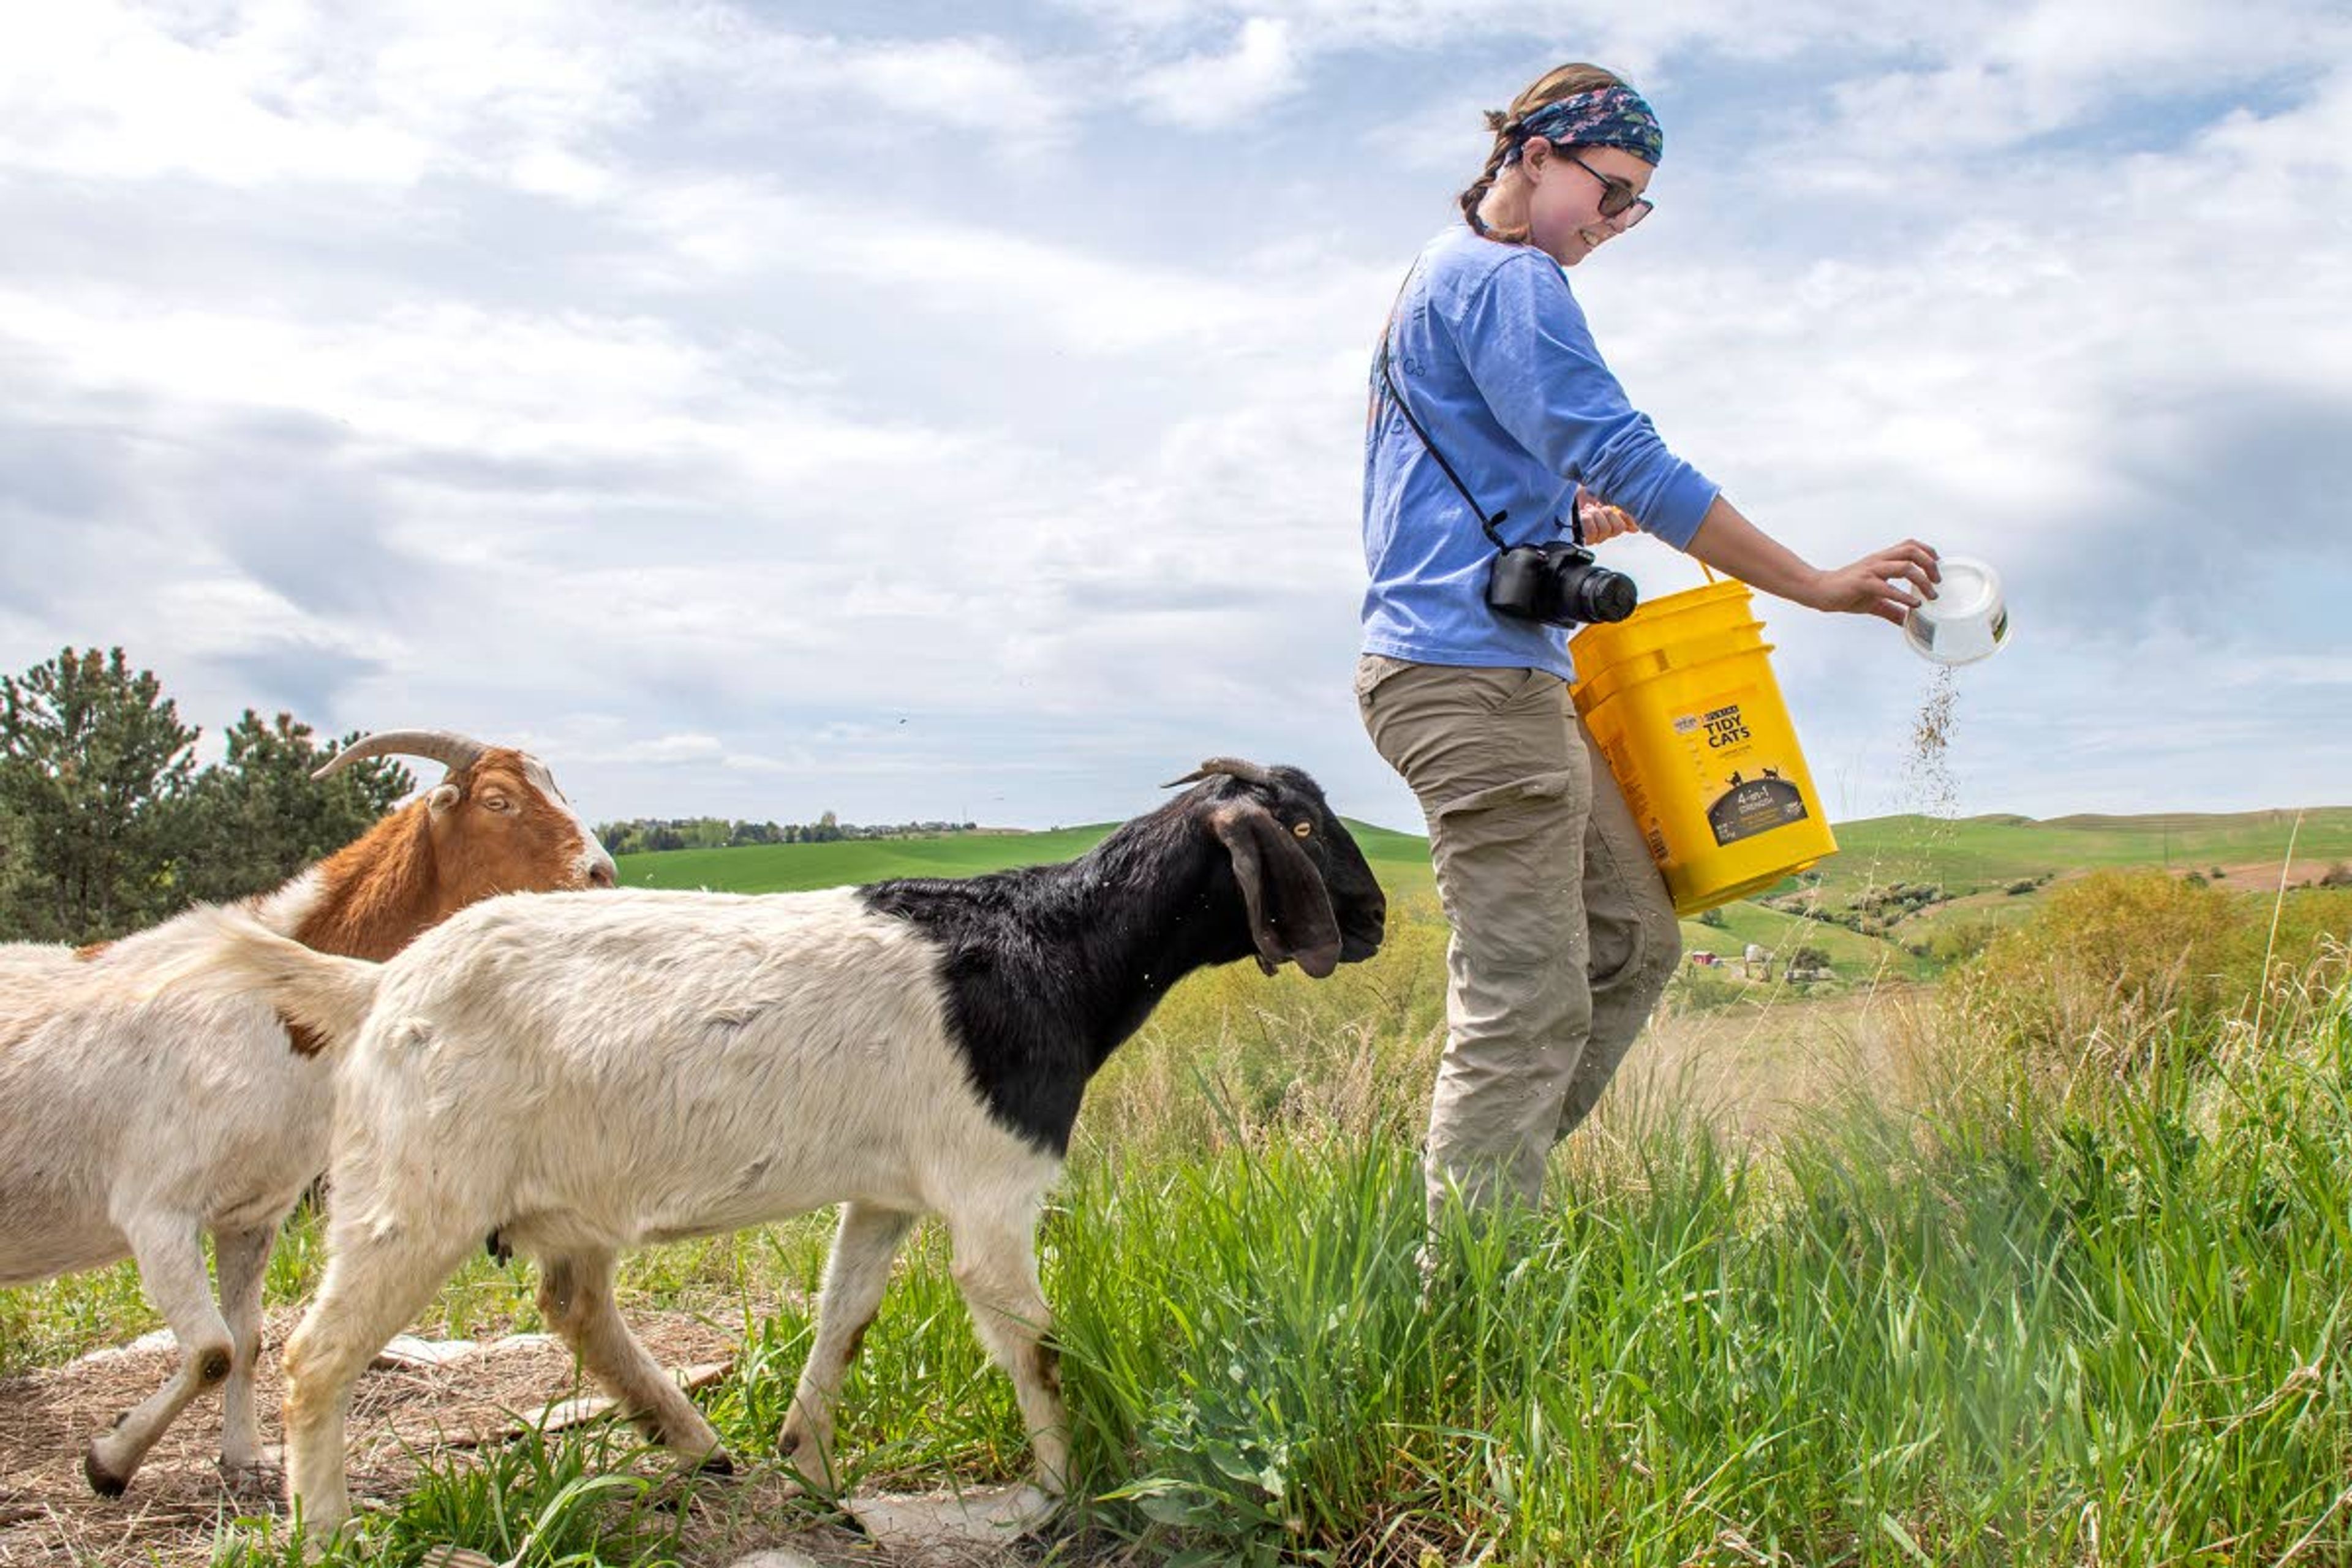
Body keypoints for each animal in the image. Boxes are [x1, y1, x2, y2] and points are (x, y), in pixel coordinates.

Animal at [0, 733, 616, 1495]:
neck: (278, 1003)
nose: (601, 873)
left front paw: (245, 1459)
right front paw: (110, 1460)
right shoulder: (156, 1209)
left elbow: (245, 1340)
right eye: (499, 801)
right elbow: (210, 1349)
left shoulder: (252, 1214)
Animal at [174, 756, 1382, 1532]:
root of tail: (379, 986)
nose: (1370, 921)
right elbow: (1032, 1343)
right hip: (414, 1196)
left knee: (572, 1305)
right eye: (1303, 830)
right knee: (319, 1356)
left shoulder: (890, 1191)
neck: (1052, 952)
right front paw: (1070, 1492)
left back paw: (698, 1446)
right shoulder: (991, 1188)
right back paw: (326, 1530)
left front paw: (808, 1468)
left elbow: (846, 1317)